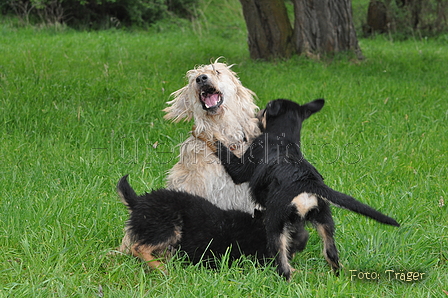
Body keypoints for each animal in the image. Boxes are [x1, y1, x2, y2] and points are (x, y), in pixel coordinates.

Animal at [215, 98, 400, 280]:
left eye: (266, 108)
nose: (256, 114)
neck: (283, 137)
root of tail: (306, 183)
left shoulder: (241, 169)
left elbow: (225, 153)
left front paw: (213, 137)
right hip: (324, 218)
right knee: (330, 252)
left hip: (275, 223)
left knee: (282, 262)